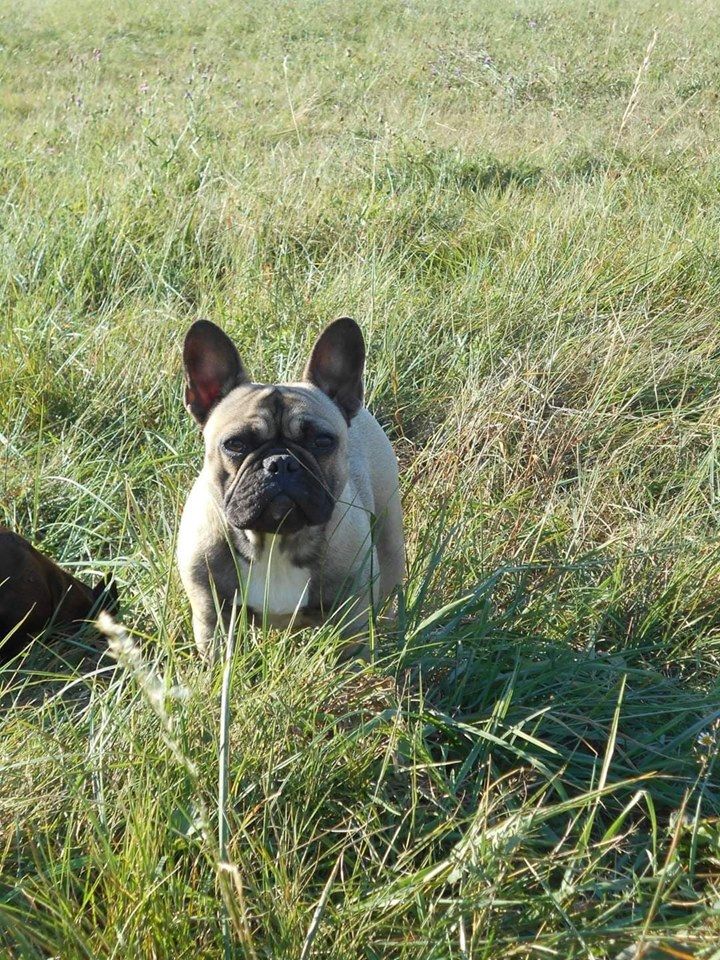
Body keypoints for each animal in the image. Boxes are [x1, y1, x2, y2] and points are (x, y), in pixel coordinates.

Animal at [177, 316, 405, 659]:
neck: (275, 540)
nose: (281, 463)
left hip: (389, 537)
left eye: (322, 441)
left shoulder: (351, 621)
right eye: (235, 444)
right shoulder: (212, 619)